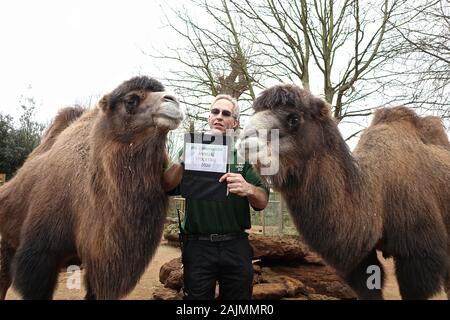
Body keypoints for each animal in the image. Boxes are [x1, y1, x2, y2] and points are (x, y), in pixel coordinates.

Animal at [241, 83, 450, 300]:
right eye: (256, 111)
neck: (377, 196)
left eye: (294, 118)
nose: (246, 139)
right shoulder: (360, 261)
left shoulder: (420, 256)